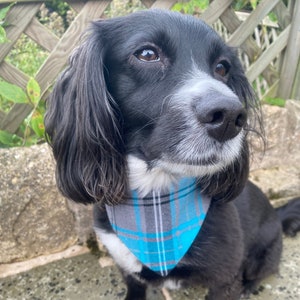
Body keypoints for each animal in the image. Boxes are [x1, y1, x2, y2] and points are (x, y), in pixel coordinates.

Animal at [44, 9, 300, 300]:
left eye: (222, 67)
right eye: (147, 54)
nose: (230, 117)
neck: (155, 198)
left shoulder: (226, 276)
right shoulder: (124, 262)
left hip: (263, 253)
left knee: (262, 270)